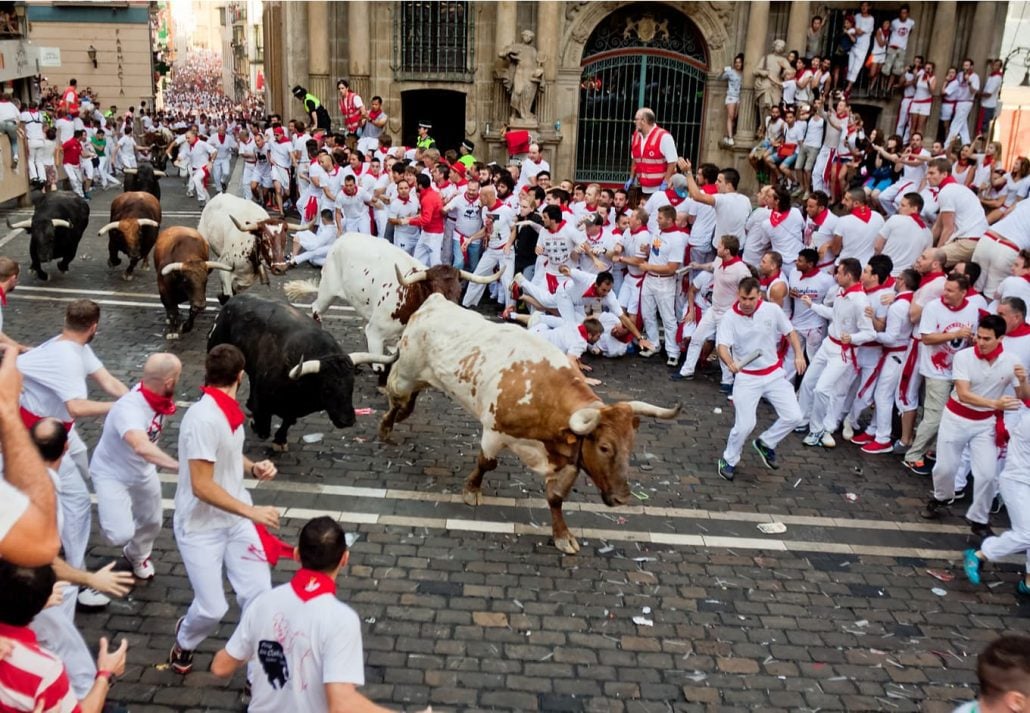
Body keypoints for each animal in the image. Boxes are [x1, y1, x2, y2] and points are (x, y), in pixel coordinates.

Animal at [284, 232, 496, 356]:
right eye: (435, 292)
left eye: (459, 292)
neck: (410, 295)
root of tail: (344, 236)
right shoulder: (375, 333)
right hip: (328, 291)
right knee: (316, 308)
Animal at [383, 292, 679, 552]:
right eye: (604, 447)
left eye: (631, 446)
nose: (622, 498)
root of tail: (435, 301)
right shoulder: (494, 432)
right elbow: (486, 463)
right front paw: (471, 490)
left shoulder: (569, 458)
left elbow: (556, 498)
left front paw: (562, 535)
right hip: (407, 372)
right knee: (396, 391)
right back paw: (386, 426)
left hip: (424, 377)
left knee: (411, 395)